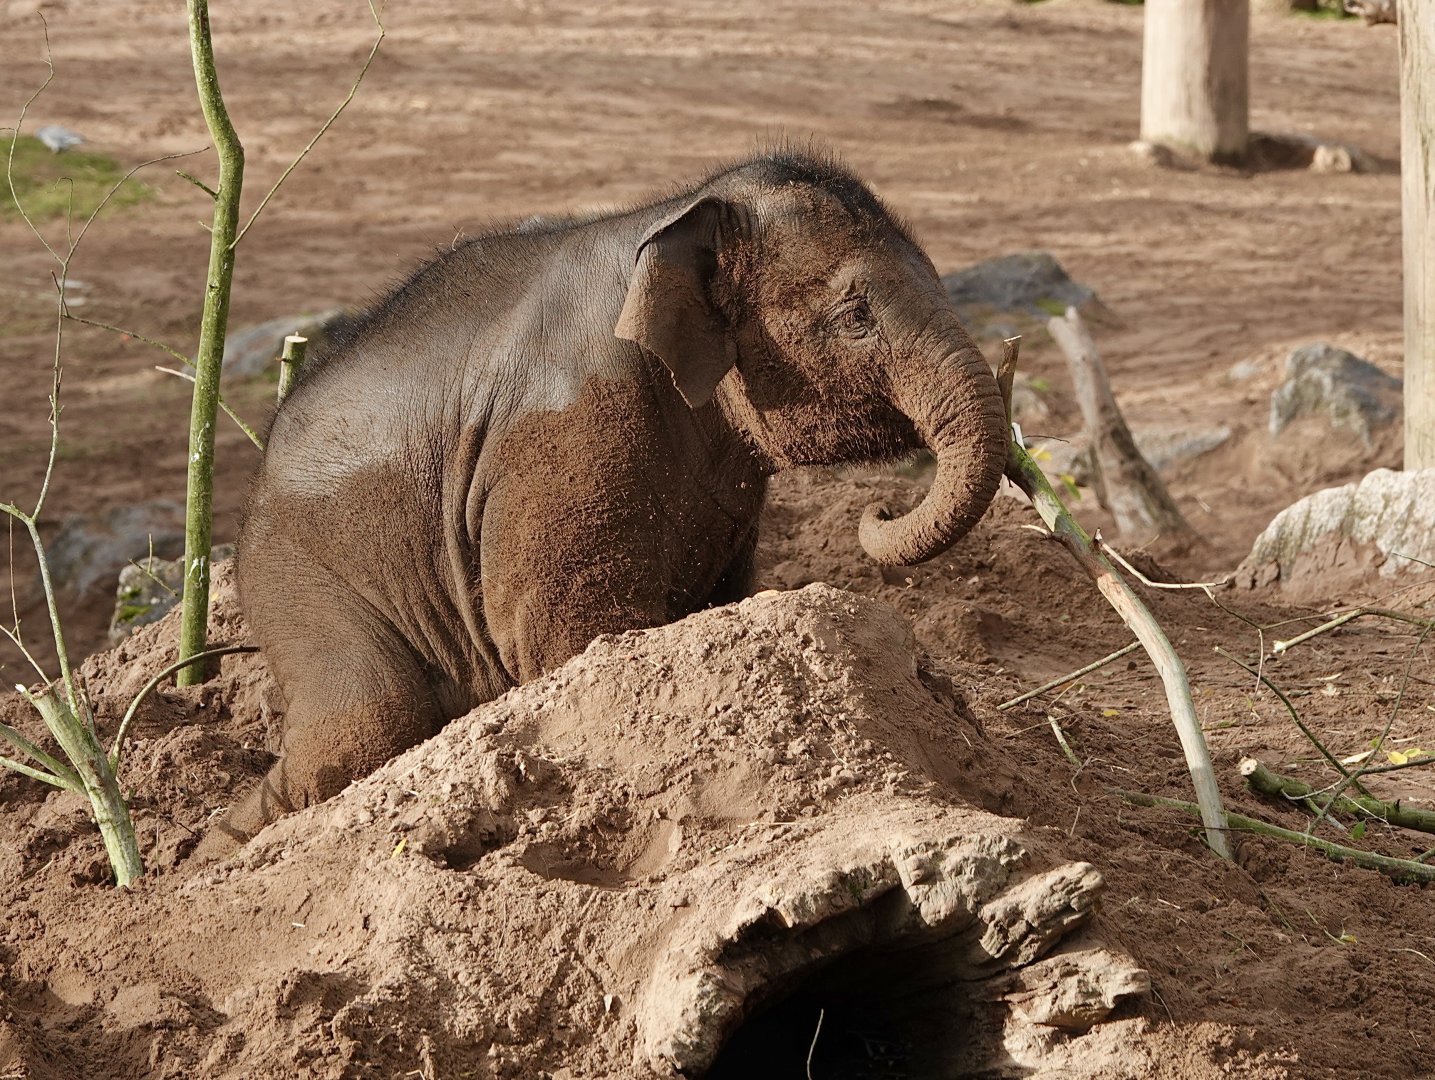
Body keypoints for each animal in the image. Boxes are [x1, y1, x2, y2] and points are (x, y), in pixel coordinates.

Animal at [199, 151, 1009, 857]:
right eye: (855, 315)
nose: (875, 513)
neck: (673, 214)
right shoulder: (567, 434)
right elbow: (563, 633)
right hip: (294, 574)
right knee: (370, 717)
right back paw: (212, 853)